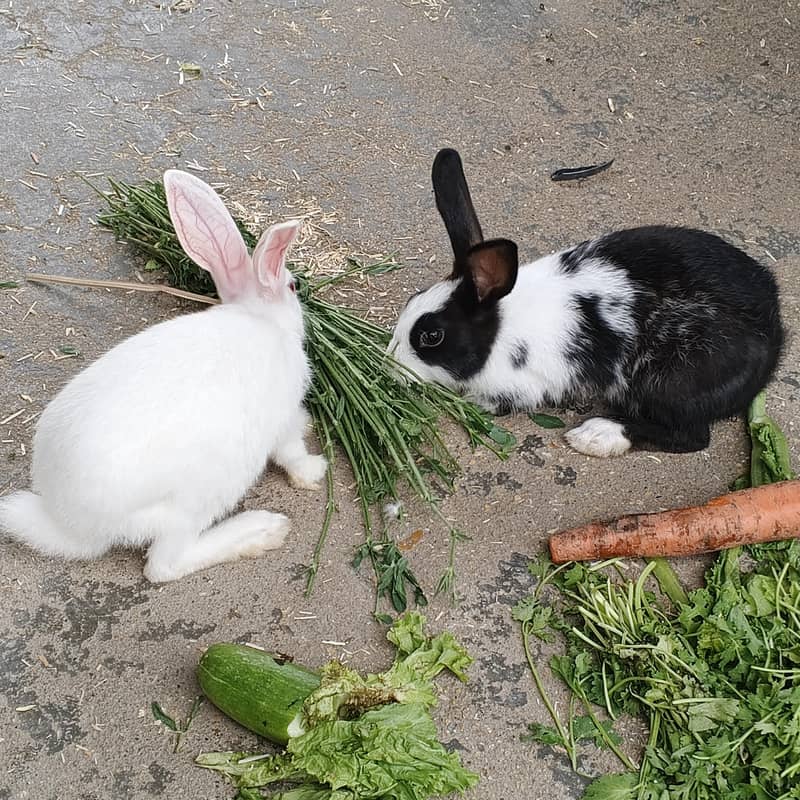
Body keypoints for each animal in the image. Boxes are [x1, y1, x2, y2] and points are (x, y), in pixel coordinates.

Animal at [0, 169, 327, 582]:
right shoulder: (280, 422)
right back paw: (262, 530)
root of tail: (70, 525)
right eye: (293, 286)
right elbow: (292, 452)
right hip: (194, 501)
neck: (261, 318)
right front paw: (315, 470)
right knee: (163, 565)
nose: (303, 291)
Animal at [388, 148, 784, 457]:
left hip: (668, 384)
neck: (499, 330)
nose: (390, 367)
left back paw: (595, 435)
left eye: (431, 336)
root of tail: (774, 336)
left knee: (692, 437)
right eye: (412, 300)